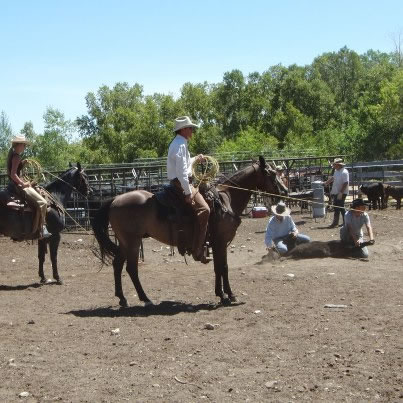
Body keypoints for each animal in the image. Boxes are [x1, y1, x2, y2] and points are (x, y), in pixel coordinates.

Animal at [91, 156, 288, 308]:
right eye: (271, 174)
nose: (285, 190)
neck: (226, 200)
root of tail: (115, 199)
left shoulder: (216, 243)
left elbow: (218, 267)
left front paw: (221, 294)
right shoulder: (220, 241)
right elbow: (223, 267)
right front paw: (229, 296)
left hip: (125, 242)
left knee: (117, 265)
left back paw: (122, 299)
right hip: (132, 241)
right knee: (131, 268)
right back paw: (145, 299)